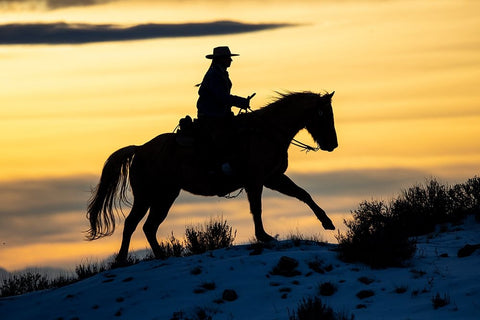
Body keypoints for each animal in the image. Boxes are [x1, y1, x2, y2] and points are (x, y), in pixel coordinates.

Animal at [88, 91, 340, 262]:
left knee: (149, 227)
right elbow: (257, 209)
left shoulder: (273, 178)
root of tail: (139, 149)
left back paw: (161, 256)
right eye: (324, 115)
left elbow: (304, 195)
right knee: (132, 224)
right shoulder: (256, 181)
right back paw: (122, 260)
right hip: (146, 196)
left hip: (165, 196)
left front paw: (327, 222)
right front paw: (264, 236)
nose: (333, 144)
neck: (267, 132)